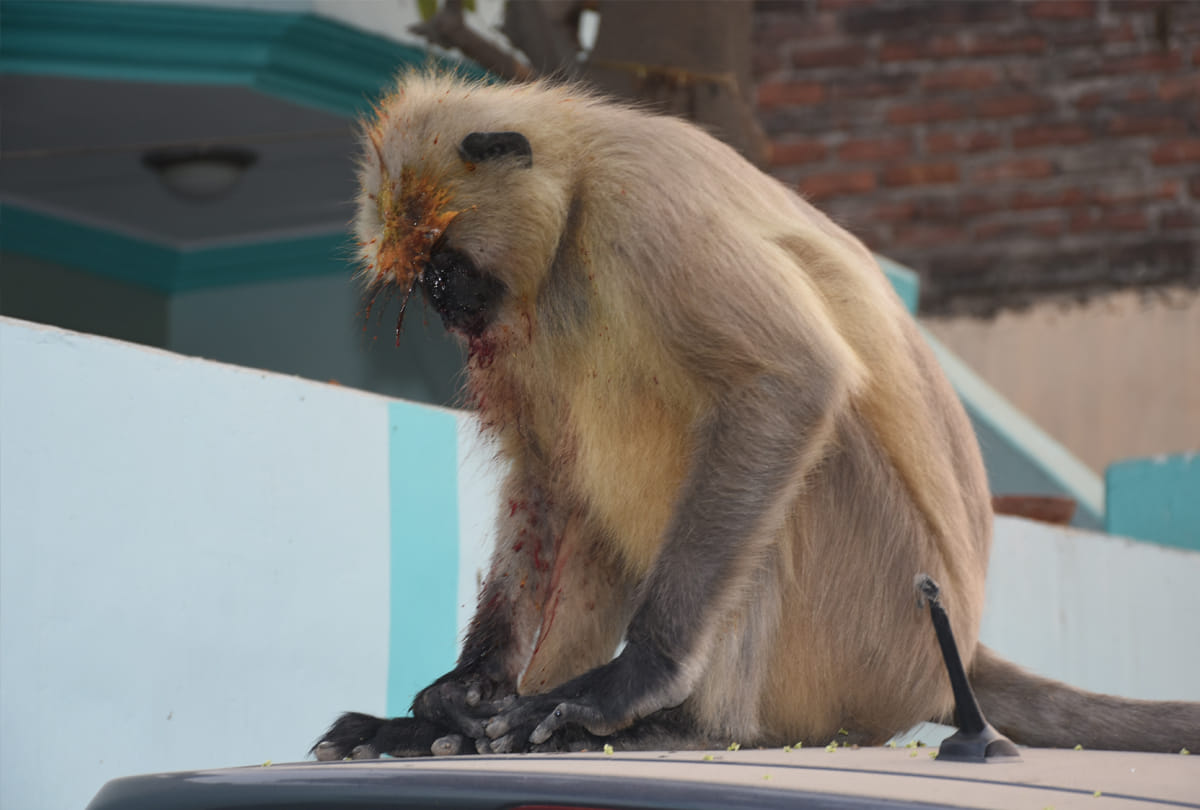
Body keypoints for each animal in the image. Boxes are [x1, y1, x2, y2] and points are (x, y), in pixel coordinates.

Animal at [313, 71, 1200, 759]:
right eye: (425, 279)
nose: (442, 302)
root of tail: (961, 639)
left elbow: (792, 381)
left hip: (882, 628)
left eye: (442, 265)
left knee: (798, 450)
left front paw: (636, 678)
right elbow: (548, 479)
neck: (576, 197)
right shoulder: (520, 316)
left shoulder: (641, 208)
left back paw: (692, 726)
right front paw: (468, 689)